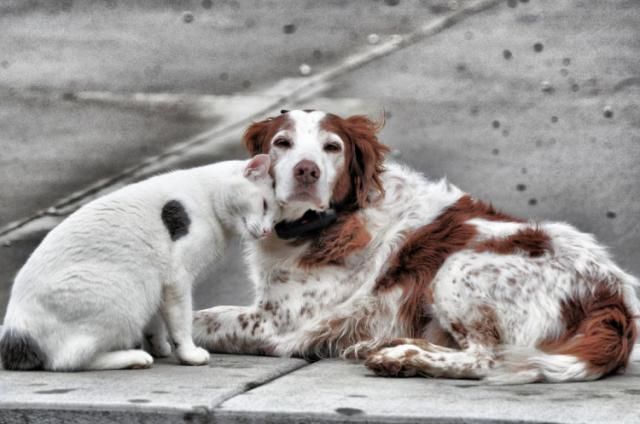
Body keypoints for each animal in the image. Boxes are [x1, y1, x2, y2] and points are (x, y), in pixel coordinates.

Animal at [0, 155, 276, 372]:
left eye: (274, 216)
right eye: (264, 205)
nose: (266, 231)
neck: (206, 197)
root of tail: (15, 332)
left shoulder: (159, 283)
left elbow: (156, 322)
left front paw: (160, 346)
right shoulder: (177, 278)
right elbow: (181, 321)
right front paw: (189, 354)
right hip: (123, 294)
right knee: (67, 361)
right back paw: (134, 357)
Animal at [192, 109, 636, 384]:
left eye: (332, 147)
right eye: (281, 143)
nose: (306, 171)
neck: (326, 223)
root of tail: (614, 296)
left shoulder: (279, 324)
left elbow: (203, 319)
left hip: (455, 270)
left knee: (484, 357)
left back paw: (399, 359)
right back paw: (386, 346)